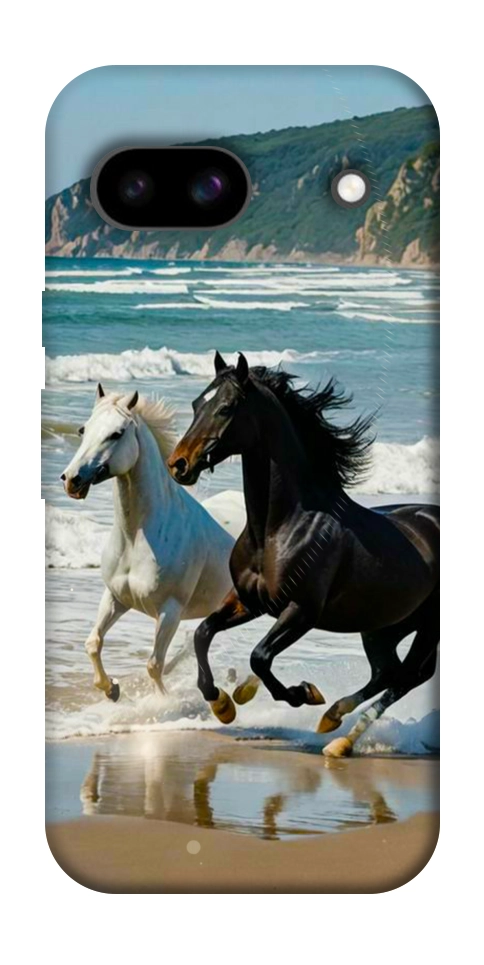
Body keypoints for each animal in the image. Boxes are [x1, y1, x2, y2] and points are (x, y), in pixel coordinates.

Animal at [61, 383, 234, 701]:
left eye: (116, 433)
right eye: (83, 429)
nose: (71, 480)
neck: (137, 538)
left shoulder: (170, 611)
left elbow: (154, 665)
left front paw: (161, 703)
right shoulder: (115, 597)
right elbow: (93, 643)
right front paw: (111, 689)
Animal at [167, 352, 439, 757]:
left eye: (227, 408)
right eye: (197, 404)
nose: (179, 464)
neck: (279, 528)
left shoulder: (302, 611)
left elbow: (260, 657)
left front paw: (302, 693)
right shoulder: (249, 601)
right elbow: (203, 633)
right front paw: (223, 704)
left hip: (425, 628)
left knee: (408, 676)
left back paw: (339, 737)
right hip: (383, 626)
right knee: (388, 672)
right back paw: (333, 722)